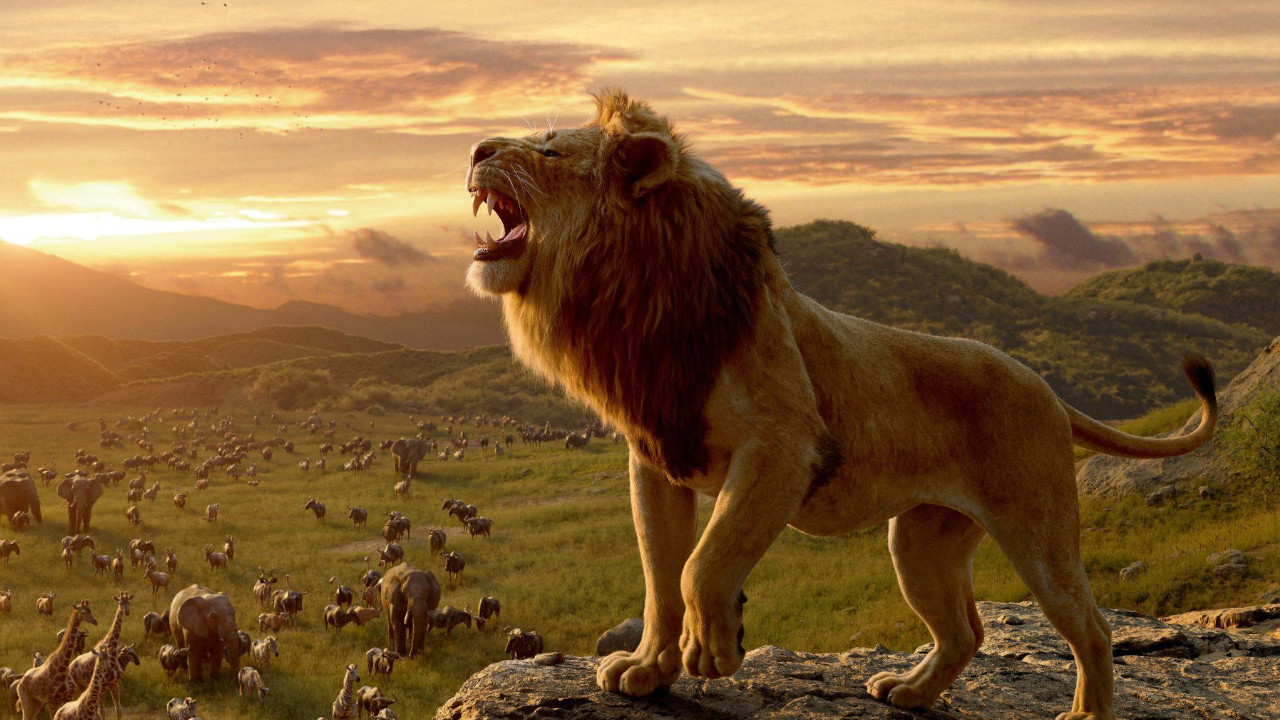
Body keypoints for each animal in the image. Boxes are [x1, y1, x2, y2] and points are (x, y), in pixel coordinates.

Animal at [463, 89, 1217, 720]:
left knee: (1091, 624)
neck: (633, 299)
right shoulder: (655, 457)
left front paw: (716, 648)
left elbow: (703, 562)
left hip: (1038, 529)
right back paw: (910, 692)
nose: (474, 150)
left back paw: (1085, 712)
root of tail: (1049, 389)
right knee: (965, 630)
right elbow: (659, 576)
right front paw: (648, 671)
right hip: (920, 541)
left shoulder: (785, 444)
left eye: (549, 150)